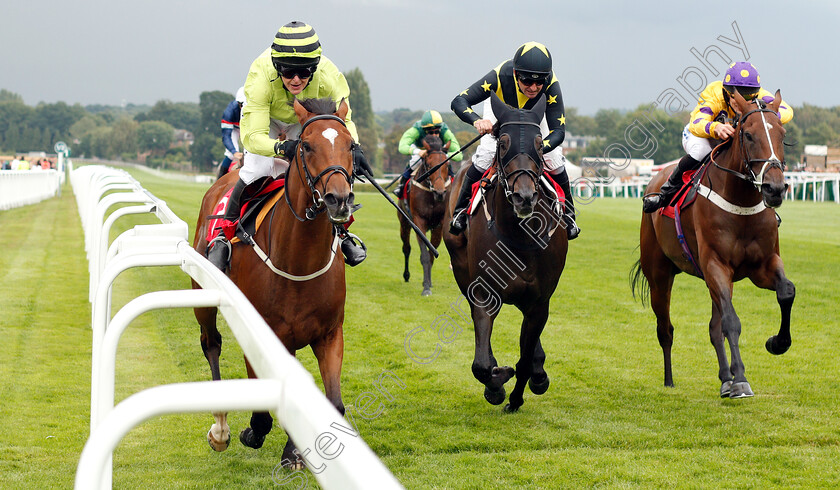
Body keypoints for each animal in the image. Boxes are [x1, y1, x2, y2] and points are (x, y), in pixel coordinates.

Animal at [192, 96, 356, 468]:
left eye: (351, 145)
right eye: (306, 146)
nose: (339, 199)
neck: (298, 261)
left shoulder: (329, 333)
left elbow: (332, 402)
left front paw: (293, 452)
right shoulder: (262, 335)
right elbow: (262, 414)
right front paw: (251, 433)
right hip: (203, 298)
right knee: (211, 342)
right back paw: (220, 429)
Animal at [398, 134, 450, 294]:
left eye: (447, 164)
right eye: (428, 164)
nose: (440, 193)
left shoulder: (439, 225)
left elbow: (432, 253)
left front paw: (428, 282)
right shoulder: (419, 222)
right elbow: (425, 255)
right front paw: (426, 287)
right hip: (404, 222)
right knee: (406, 248)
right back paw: (406, 275)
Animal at [442, 93, 568, 414]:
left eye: (539, 145)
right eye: (502, 143)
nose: (524, 197)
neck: (519, 237)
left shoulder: (539, 301)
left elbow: (524, 358)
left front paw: (518, 394)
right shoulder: (484, 293)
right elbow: (481, 365)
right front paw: (497, 384)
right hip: (461, 270)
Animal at [632, 90, 796, 400]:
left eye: (782, 135)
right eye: (748, 134)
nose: (775, 189)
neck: (741, 202)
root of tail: (655, 180)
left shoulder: (763, 265)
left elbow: (786, 292)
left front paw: (776, 343)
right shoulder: (716, 265)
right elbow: (731, 322)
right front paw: (741, 379)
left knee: (712, 327)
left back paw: (725, 380)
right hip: (660, 275)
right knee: (665, 329)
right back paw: (670, 380)